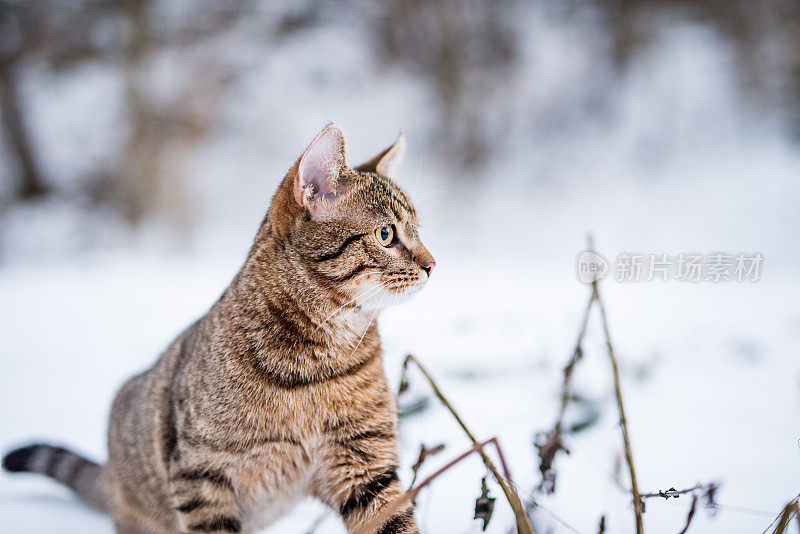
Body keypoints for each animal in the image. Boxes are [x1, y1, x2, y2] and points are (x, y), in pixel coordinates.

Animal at [3, 123, 434, 532]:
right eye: (386, 234)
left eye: (418, 230)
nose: (433, 264)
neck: (321, 356)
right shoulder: (201, 477)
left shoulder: (364, 463)